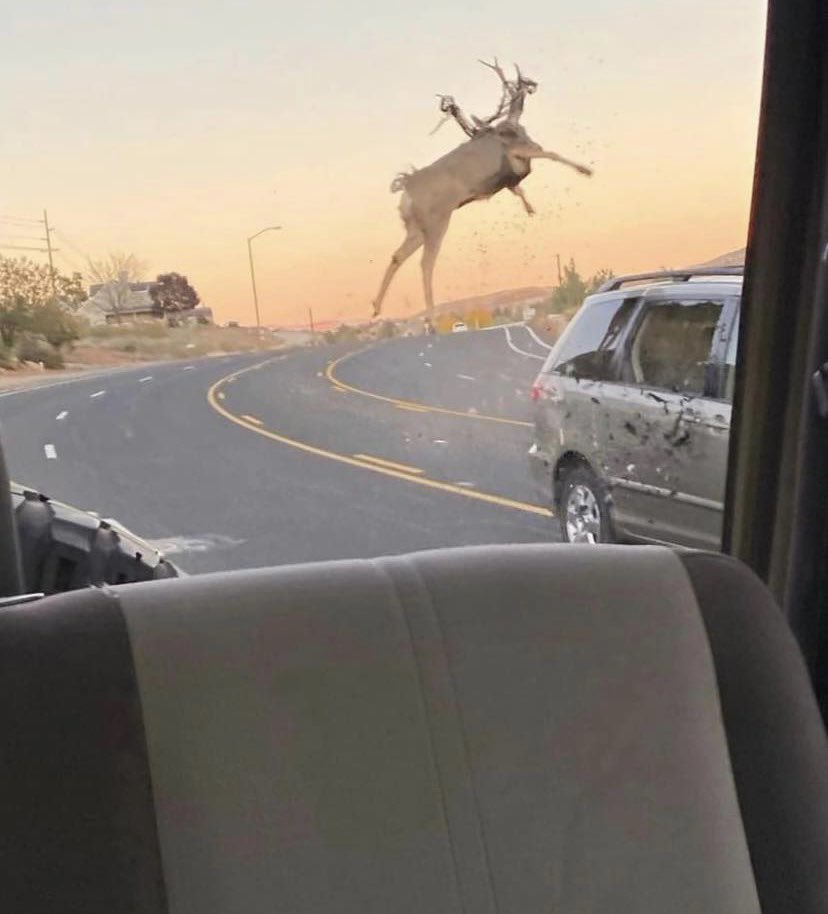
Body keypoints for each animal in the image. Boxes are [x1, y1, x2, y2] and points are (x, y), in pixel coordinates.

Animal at [372, 60, 592, 318]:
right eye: (519, 79)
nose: (534, 84)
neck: (511, 125)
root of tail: (406, 185)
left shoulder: (511, 179)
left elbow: (521, 189)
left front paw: (531, 210)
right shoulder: (519, 154)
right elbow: (551, 153)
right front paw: (586, 170)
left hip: (416, 227)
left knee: (398, 256)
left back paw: (376, 307)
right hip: (437, 219)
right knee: (426, 263)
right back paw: (431, 314)